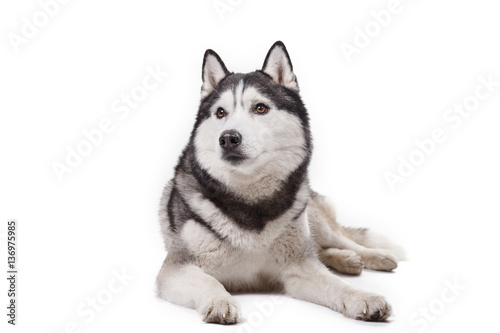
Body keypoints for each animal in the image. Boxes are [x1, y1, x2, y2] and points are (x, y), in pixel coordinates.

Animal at [156, 40, 402, 322]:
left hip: (311, 214)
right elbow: (209, 281)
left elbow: (335, 285)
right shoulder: (177, 267)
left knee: (340, 239)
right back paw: (346, 260)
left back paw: (371, 256)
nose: (228, 138)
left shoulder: (298, 265)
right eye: (220, 112)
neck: (251, 201)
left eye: (260, 107)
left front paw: (363, 297)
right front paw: (219, 301)